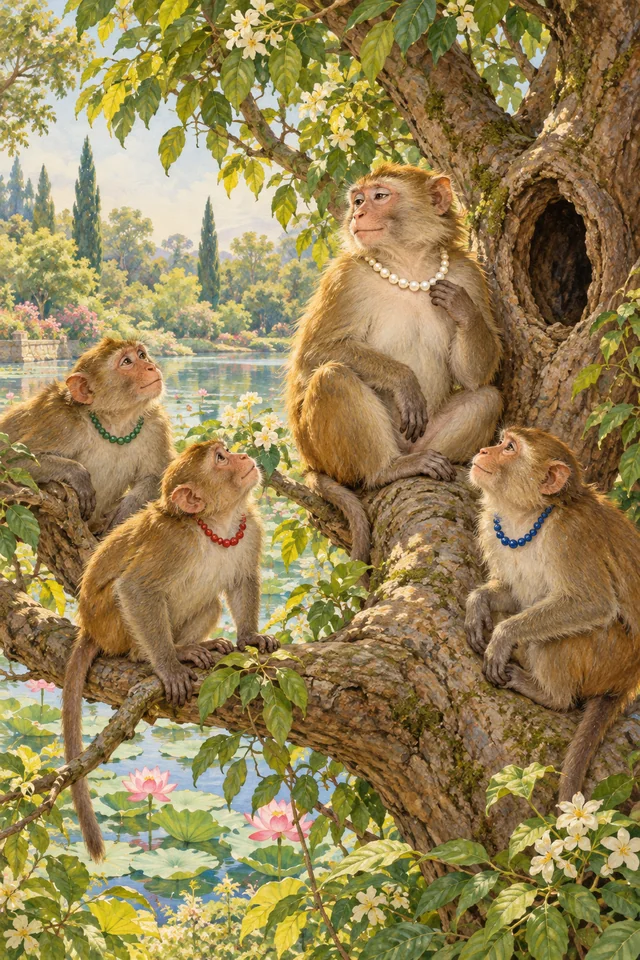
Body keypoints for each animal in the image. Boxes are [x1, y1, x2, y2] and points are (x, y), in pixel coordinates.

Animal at [0, 338, 174, 533]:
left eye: (142, 355)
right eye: (127, 362)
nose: (151, 367)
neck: (115, 421)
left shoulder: (156, 424)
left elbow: (158, 476)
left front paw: (126, 509)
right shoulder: (62, 422)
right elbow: (12, 460)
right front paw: (77, 474)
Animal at [62, 439, 279, 861]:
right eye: (221, 459)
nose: (244, 457)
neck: (217, 522)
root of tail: (89, 627)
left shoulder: (248, 530)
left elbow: (242, 579)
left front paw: (249, 637)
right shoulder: (170, 544)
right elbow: (136, 589)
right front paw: (167, 666)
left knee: (209, 604)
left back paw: (192, 645)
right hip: (110, 623)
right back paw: (165, 654)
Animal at [285, 163, 502, 563]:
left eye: (380, 196)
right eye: (358, 200)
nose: (357, 214)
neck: (408, 263)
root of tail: (310, 460)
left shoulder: (467, 272)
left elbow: (474, 375)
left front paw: (463, 309)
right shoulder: (344, 277)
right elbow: (315, 353)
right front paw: (404, 380)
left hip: (419, 439)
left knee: (487, 397)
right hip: (325, 451)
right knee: (333, 377)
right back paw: (385, 471)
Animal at [465, 426, 640, 801]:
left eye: (509, 448)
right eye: (501, 442)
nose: (485, 450)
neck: (529, 514)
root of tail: (627, 679)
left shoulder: (569, 535)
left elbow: (592, 602)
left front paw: (503, 637)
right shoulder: (491, 526)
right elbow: (513, 594)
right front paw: (478, 605)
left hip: (609, 657)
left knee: (557, 637)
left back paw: (551, 696)